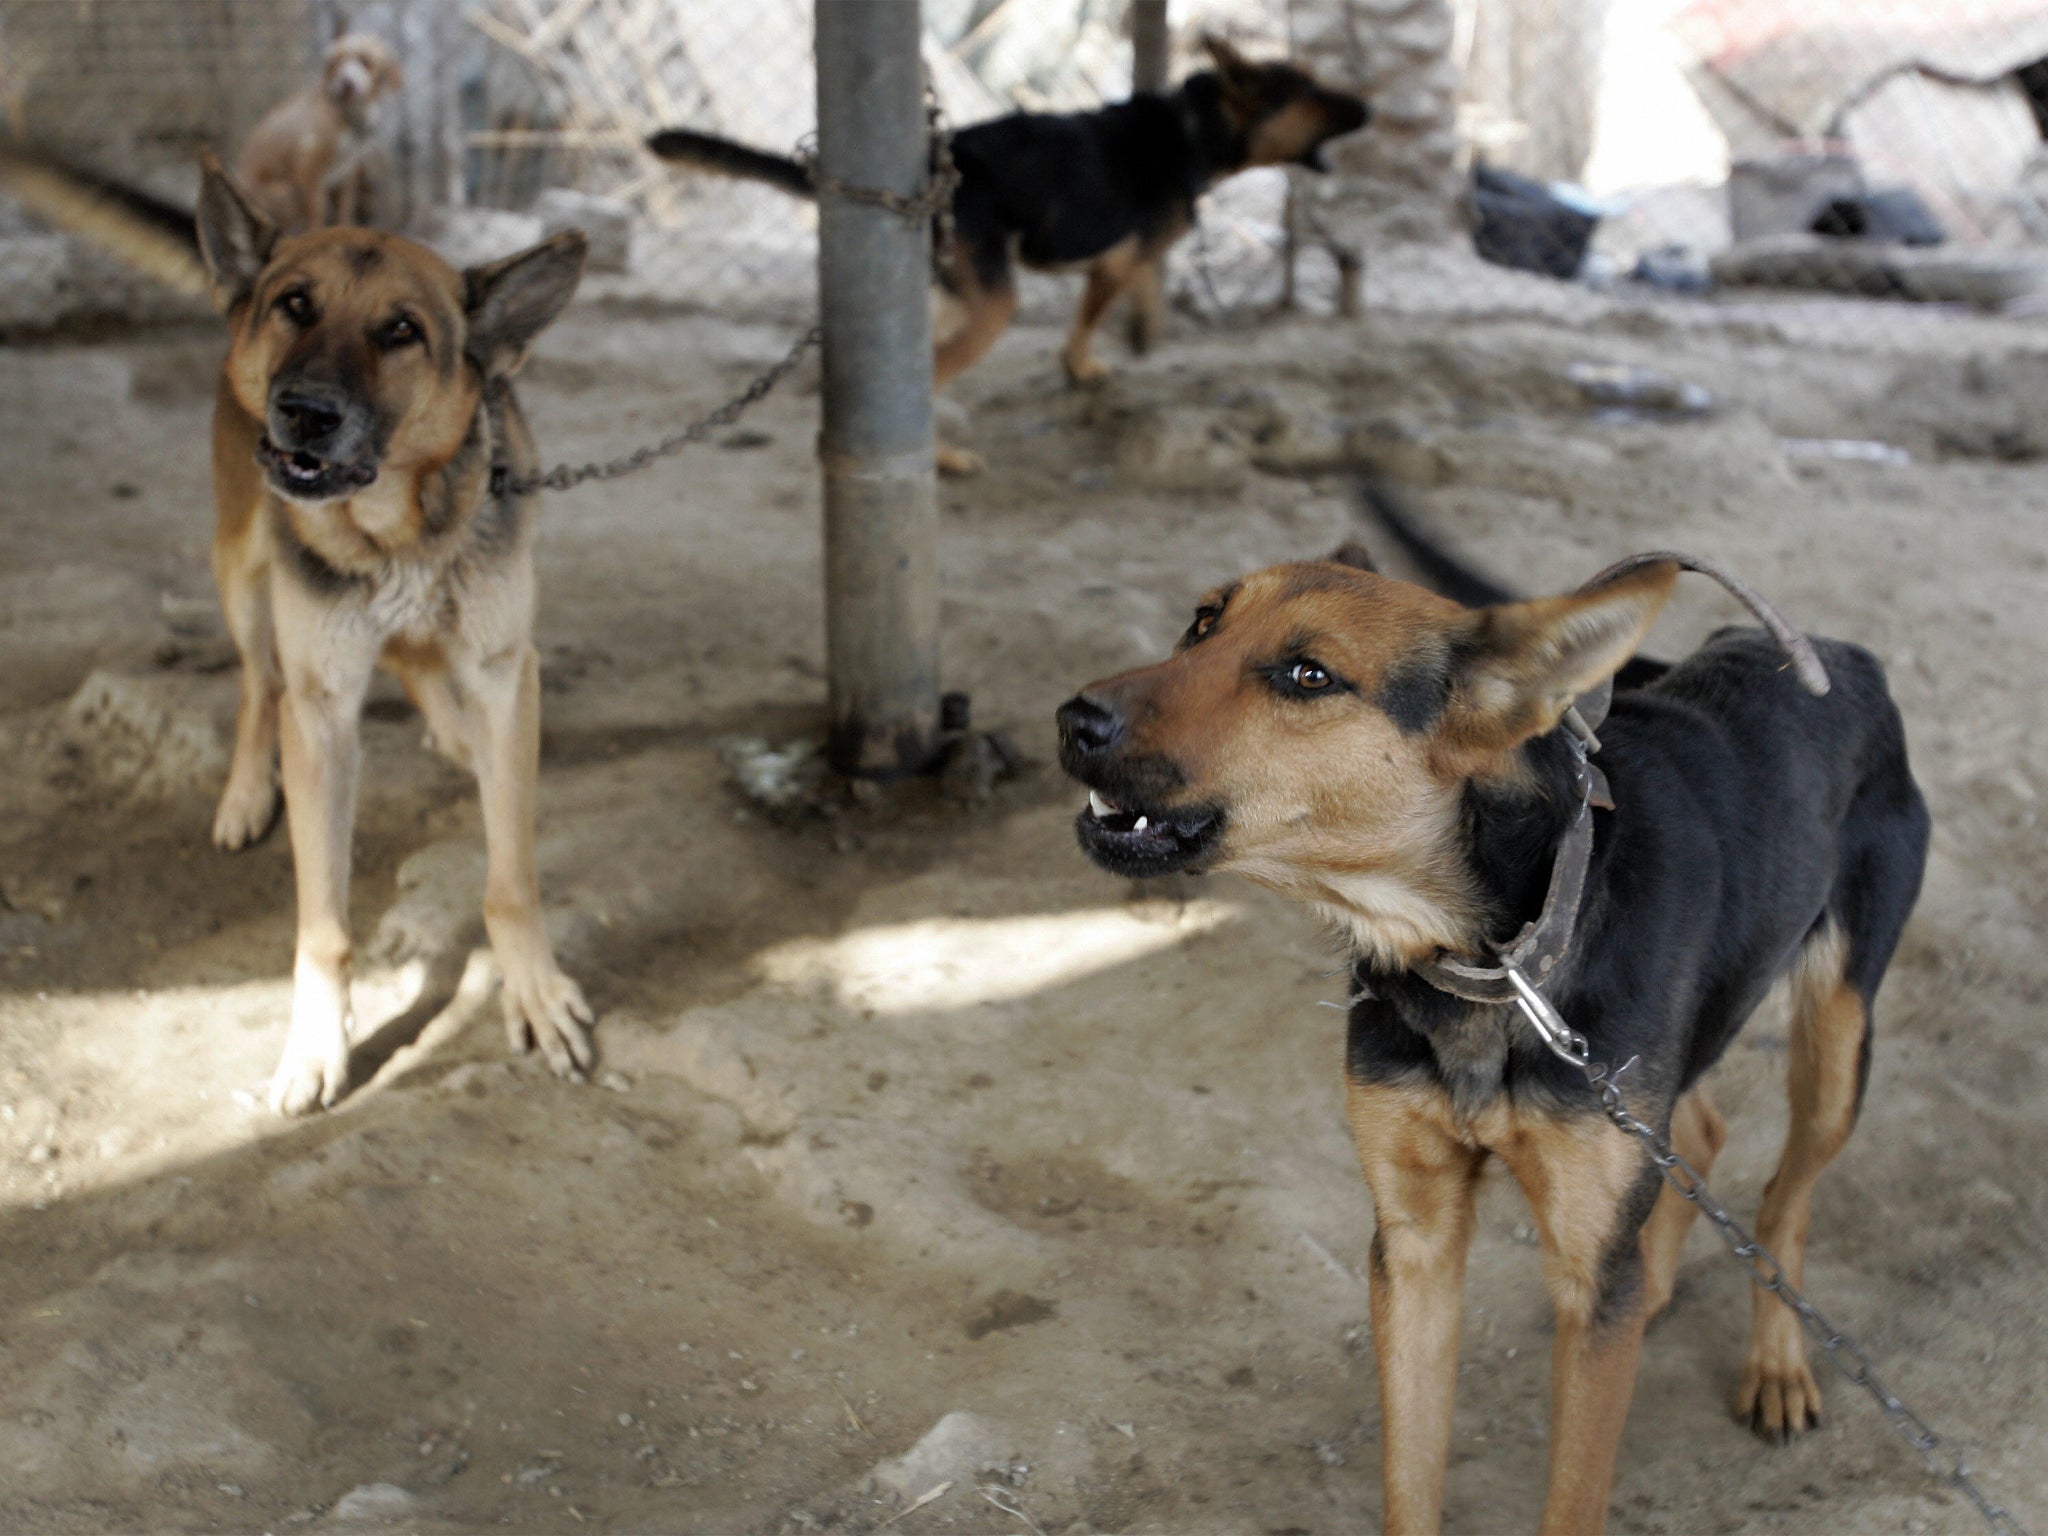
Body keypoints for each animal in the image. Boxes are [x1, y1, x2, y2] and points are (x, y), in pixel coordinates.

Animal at [193, 159, 593, 1122]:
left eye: (402, 331)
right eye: (295, 304)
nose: (304, 413)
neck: (394, 535)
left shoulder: (504, 673)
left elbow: (511, 877)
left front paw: (533, 991)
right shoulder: (323, 711)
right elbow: (323, 924)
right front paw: (315, 1043)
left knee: (419, 663)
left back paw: (453, 730)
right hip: (242, 570)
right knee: (259, 683)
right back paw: (244, 793)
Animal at [235, 32, 403, 237]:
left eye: (366, 62)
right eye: (338, 62)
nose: (346, 84)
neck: (347, 113)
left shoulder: (348, 170)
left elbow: (346, 207)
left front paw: (344, 231)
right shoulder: (307, 165)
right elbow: (317, 211)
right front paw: (317, 236)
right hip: (285, 192)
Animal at [647, 40, 1368, 428]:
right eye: (1310, 90)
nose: (1368, 106)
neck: (1197, 128)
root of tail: (931, 165)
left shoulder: (1115, 262)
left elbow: (1125, 298)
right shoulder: (1114, 262)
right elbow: (1090, 318)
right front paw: (1083, 368)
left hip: (952, 292)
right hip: (995, 301)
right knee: (935, 371)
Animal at [1064, 536, 1925, 1531]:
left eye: (1309, 675)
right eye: (1203, 622)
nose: (1074, 720)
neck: (1489, 958)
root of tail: (1837, 651)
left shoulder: (1585, 1259)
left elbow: (1573, 1496)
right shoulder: (1415, 1243)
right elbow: (1411, 1477)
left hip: (1837, 1039)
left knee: (1785, 1198)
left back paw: (1777, 1364)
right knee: (1700, 1137)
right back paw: (1660, 1289)